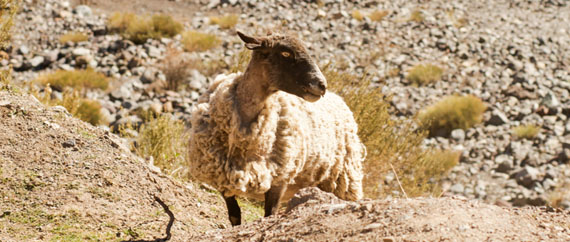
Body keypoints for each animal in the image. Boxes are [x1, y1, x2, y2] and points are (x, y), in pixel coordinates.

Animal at [186, 31, 364, 226]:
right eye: (285, 53)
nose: (321, 85)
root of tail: (339, 99)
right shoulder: (222, 178)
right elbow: (234, 216)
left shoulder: (279, 179)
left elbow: (269, 215)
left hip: (341, 180)